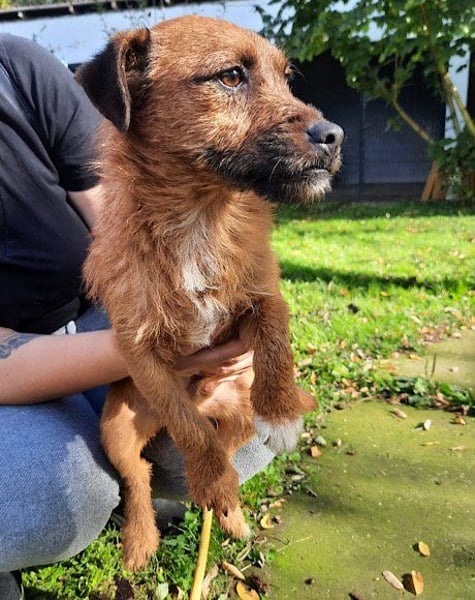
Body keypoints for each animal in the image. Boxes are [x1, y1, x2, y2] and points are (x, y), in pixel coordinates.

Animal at [76, 15, 343, 570]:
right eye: (231, 76)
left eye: (288, 78)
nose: (335, 135)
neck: (201, 215)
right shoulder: (139, 350)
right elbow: (187, 428)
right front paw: (210, 483)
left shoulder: (266, 295)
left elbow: (274, 337)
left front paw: (282, 411)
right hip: (116, 430)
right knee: (142, 476)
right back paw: (142, 538)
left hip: (240, 411)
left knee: (229, 443)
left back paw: (234, 515)